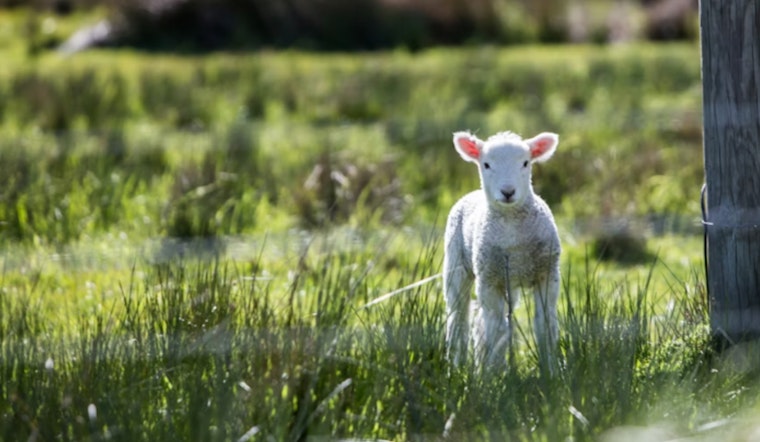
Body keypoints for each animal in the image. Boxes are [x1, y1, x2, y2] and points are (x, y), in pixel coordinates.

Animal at [443, 130, 561, 370]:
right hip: (456, 265)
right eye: (486, 164)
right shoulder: (489, 280)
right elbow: (496, 330)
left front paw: (551, 370)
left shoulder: (547, 274)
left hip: (509, 281)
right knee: (458, 317)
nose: (507, 192)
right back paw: (457, 366)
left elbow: (545, 325)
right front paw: (494, 373)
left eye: (525, 163)